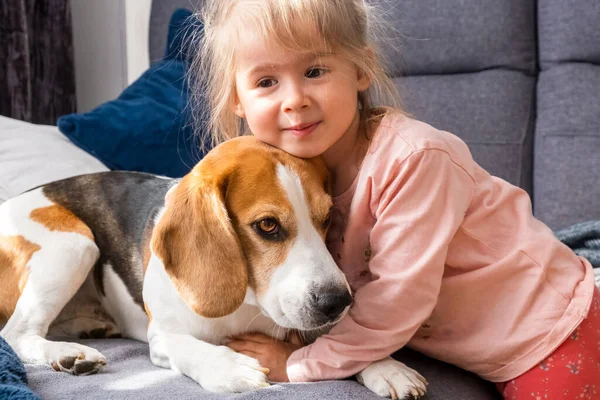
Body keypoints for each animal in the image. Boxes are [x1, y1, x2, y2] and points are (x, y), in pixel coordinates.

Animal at [2, 136, 428, 398]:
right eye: (267, 225)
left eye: (327, 219)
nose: (338, 302)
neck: (247, 302)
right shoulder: (163, 338)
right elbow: (192, 348)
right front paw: (230, 368)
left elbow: (340, 343)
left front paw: (385, 366)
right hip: (74, 244)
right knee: (16, 333)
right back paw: (70, 355)